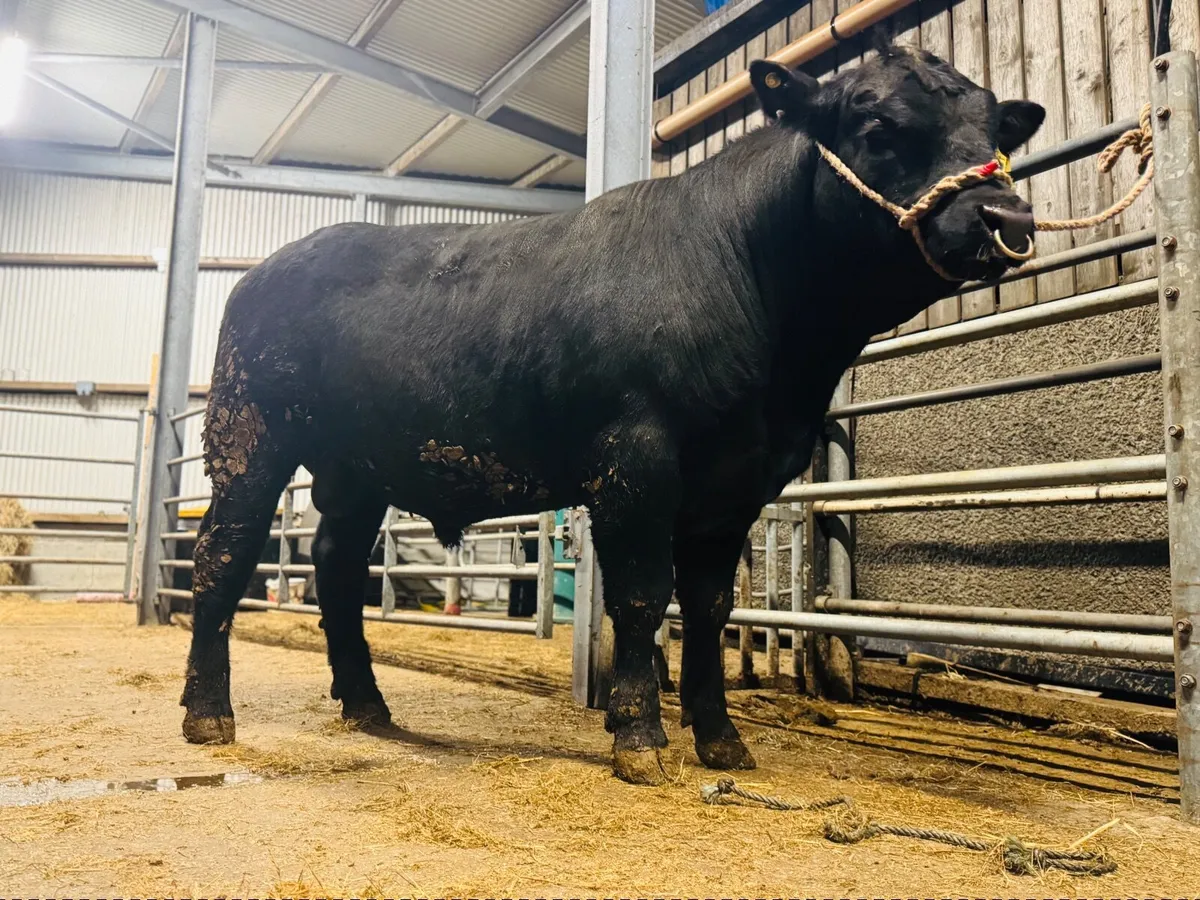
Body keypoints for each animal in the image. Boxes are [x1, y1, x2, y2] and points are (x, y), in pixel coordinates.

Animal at [179, 34, 1044, 786]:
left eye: (996, 129)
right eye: (877, 123)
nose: (1007, 218)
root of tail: (265, 270)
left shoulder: (737, 484)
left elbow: (708, 607)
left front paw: (721, 738)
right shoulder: (638, 460)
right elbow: (640, 597)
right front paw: (639, 735)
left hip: (358, 466)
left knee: (336, 564)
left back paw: (366, 704)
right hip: (249, 435)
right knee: (223, 554)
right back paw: (208, 712)